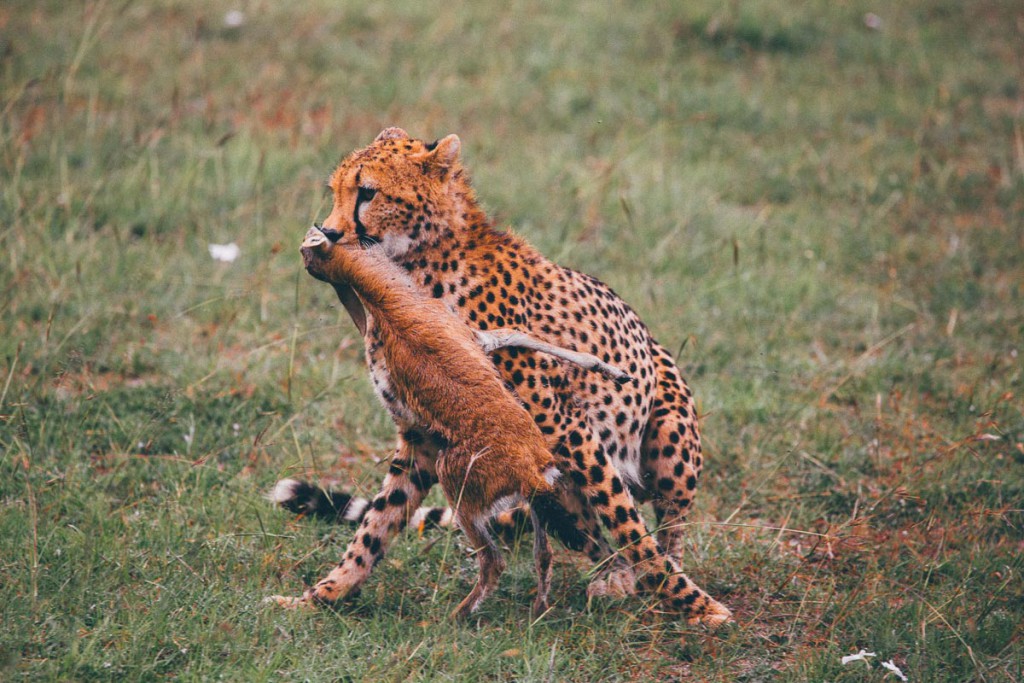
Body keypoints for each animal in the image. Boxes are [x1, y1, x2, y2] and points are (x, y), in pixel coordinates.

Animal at [271, 127, 731, 626]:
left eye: (368, 192)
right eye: (336, 190)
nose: (330, 232)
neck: (410, 266)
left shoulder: (566, 428)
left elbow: (627, 522)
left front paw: (697, 605)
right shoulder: (423, 438)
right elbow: (375, 526)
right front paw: (321, 596)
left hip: (667, 437)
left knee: (666, 527)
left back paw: (658, 581)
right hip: (539, 482)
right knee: (589, 535)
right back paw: (615, 579)